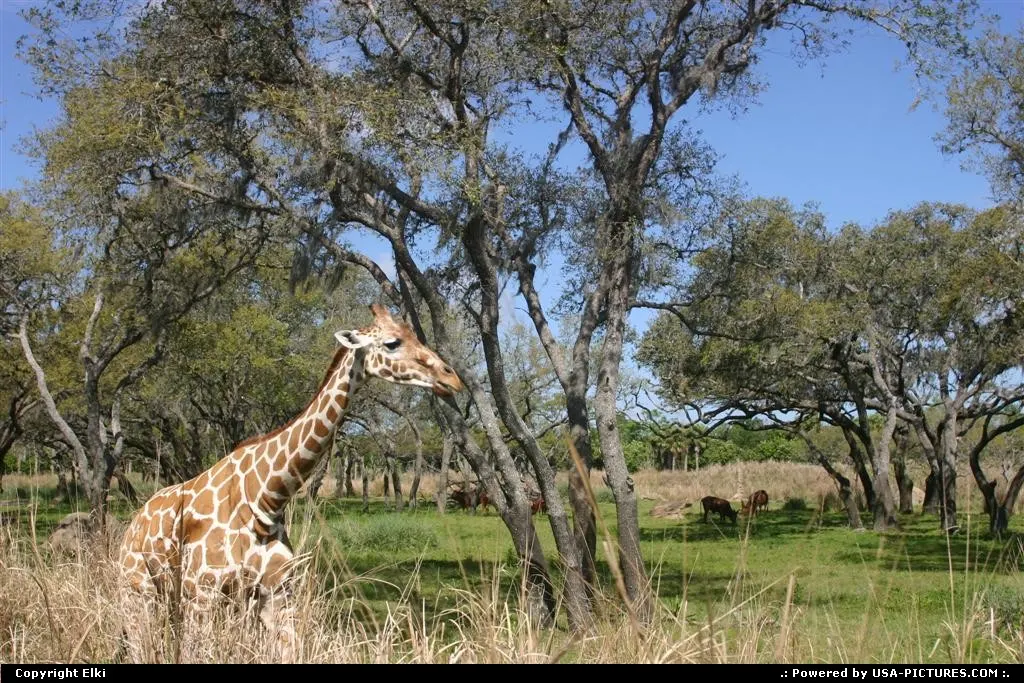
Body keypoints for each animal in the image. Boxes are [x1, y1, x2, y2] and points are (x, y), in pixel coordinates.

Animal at [117, 304, 464, 660]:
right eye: (393, 343)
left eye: (415, 335)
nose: (451, 378)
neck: (267, 497)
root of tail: (132, 525)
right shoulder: (203, 594)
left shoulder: (278, 594)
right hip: (138, 591)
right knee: (140, 645)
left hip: (171, 597)